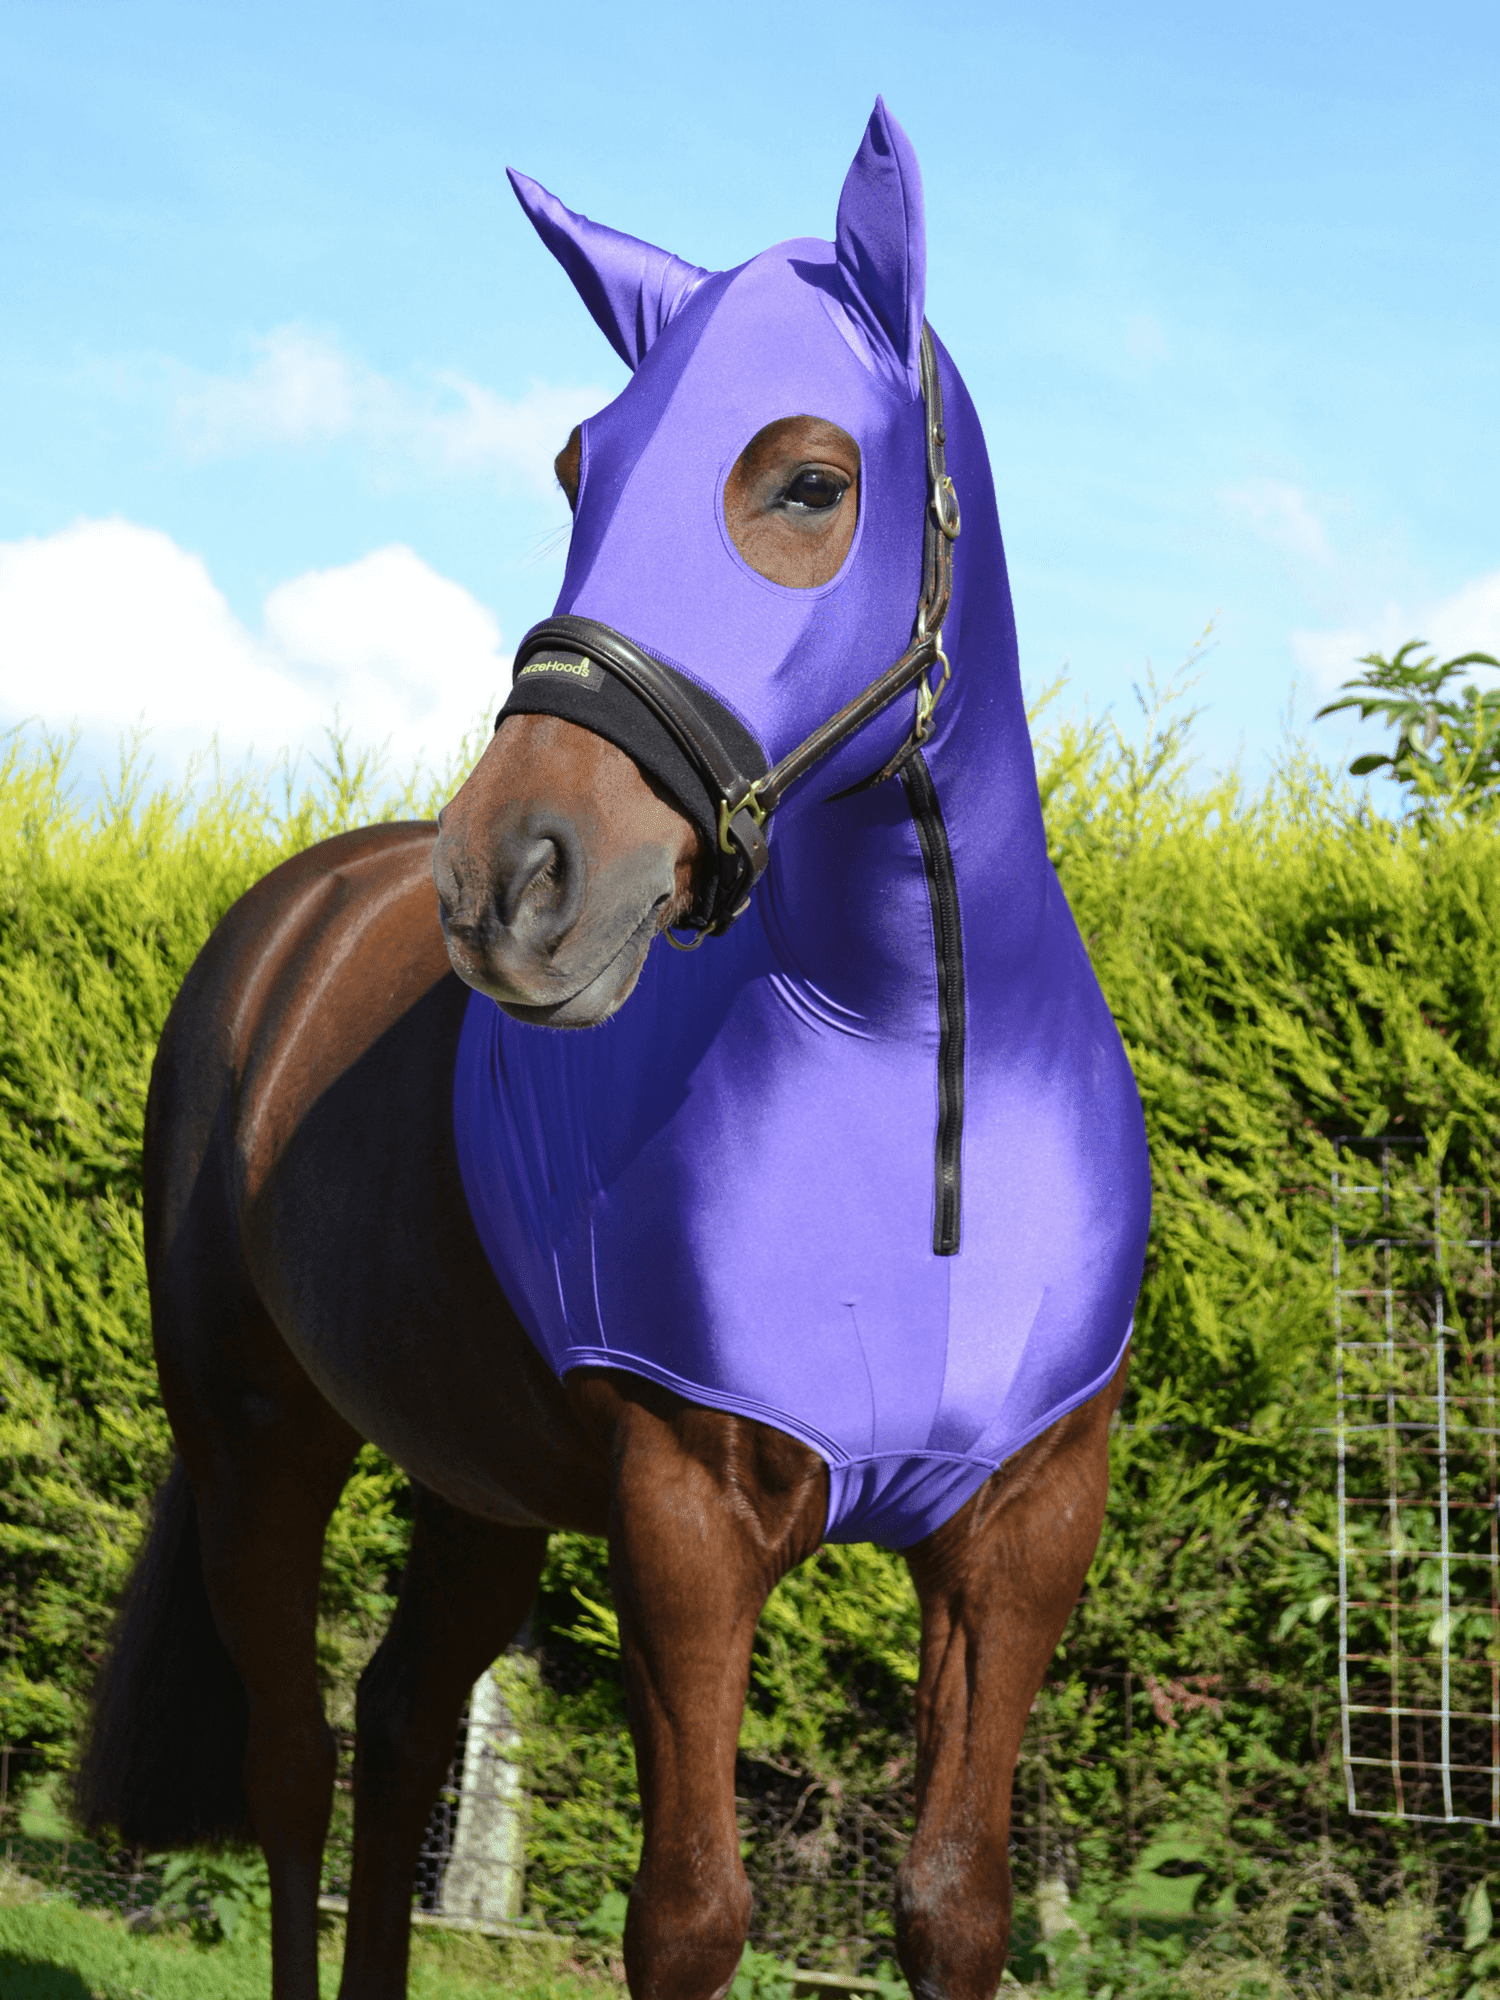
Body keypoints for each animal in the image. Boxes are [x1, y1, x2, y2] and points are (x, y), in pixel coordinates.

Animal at [76, 101, 1144, 2000]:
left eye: (806, 480)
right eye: (584, 468)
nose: (511, 882)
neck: (921, 1066)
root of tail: (293, 920)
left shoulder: (1018, 1533)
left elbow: (954, 1909)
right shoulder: (686, 1518)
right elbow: (689, 1918)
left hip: (475, 1482)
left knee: (403, 1721)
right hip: (259, 1440)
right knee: (295, 1765)